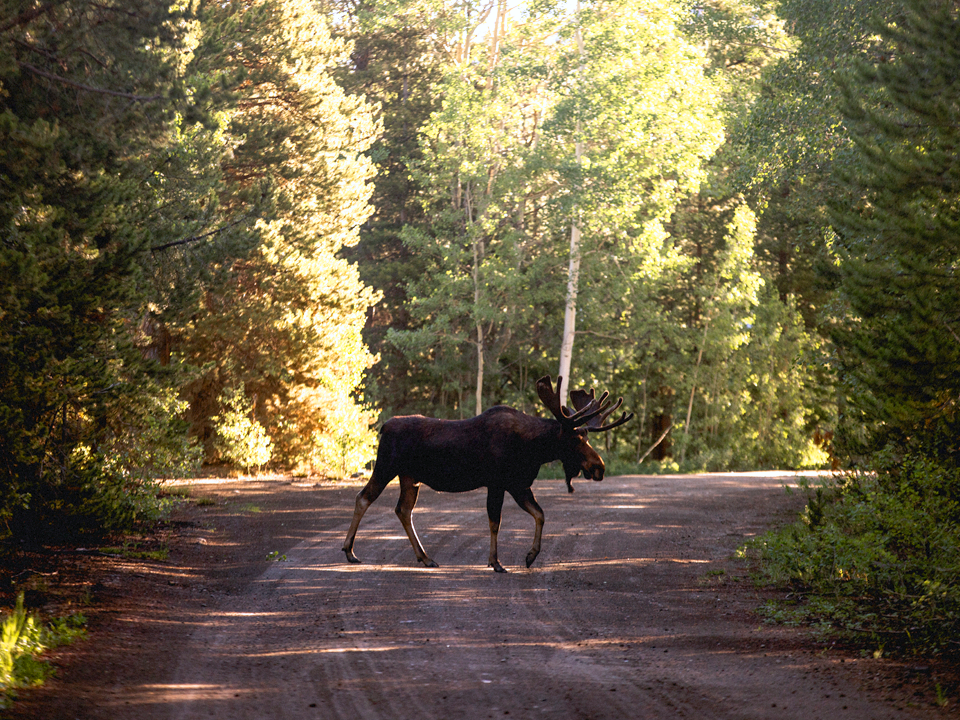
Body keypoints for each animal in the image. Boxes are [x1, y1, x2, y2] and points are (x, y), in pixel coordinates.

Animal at [342, 376, 632, 572]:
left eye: (586, 437)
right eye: (575, 439)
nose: (599, 467)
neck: (533, 450)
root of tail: (383, 427)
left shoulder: (518, 484)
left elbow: (540, 514)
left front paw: (530, 556)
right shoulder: (498, 482)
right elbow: (496, 522)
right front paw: (496, 562)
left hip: (410, 478)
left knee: (403, 509)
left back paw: (425, 557)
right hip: (386, 466)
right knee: (363, 498)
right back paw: (349, 551)